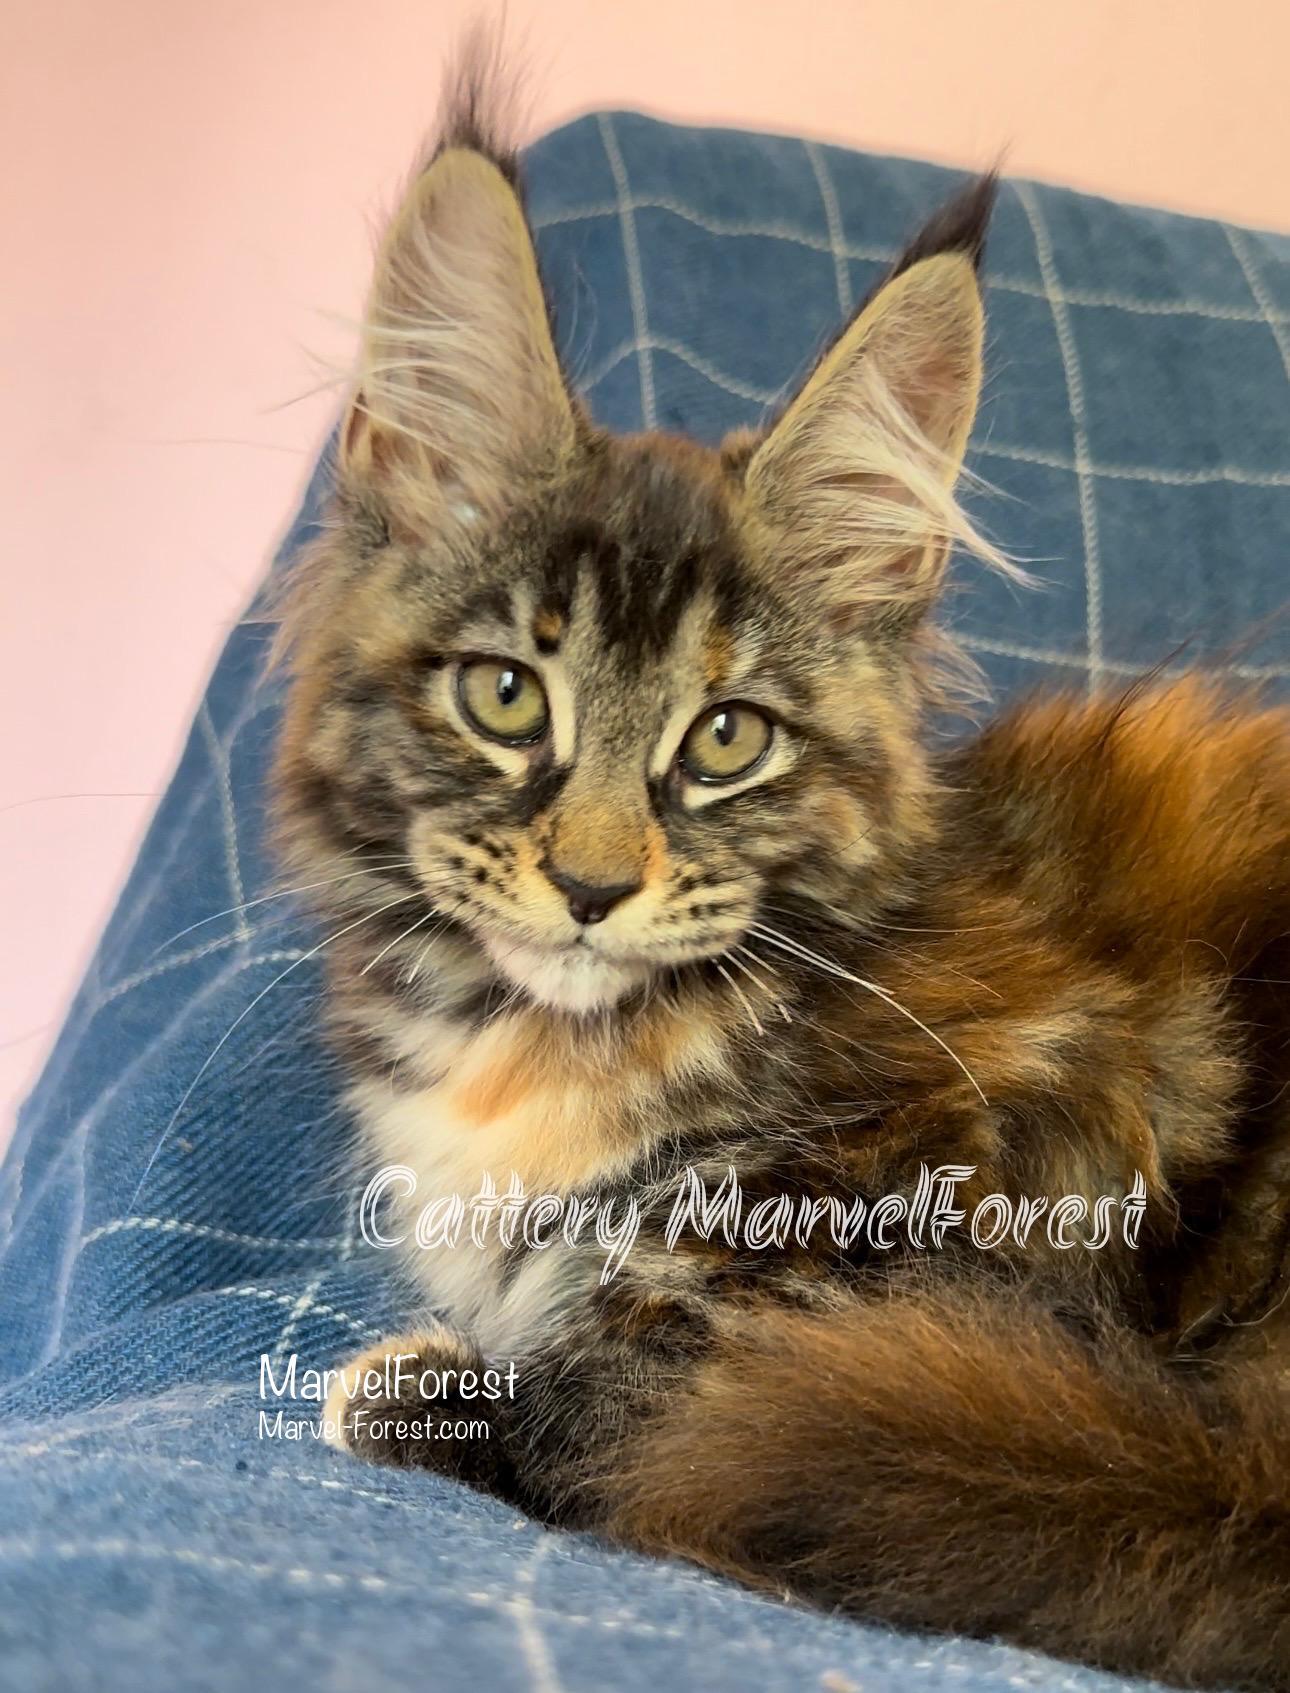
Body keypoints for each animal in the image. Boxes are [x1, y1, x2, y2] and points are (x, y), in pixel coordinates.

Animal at [271, 58, 1290, 1692]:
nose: (591, 887)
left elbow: (653, 1382)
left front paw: (428, 1388)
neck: (539, 1052)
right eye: (506, 696)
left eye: (727, 737)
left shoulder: (989, 1218)